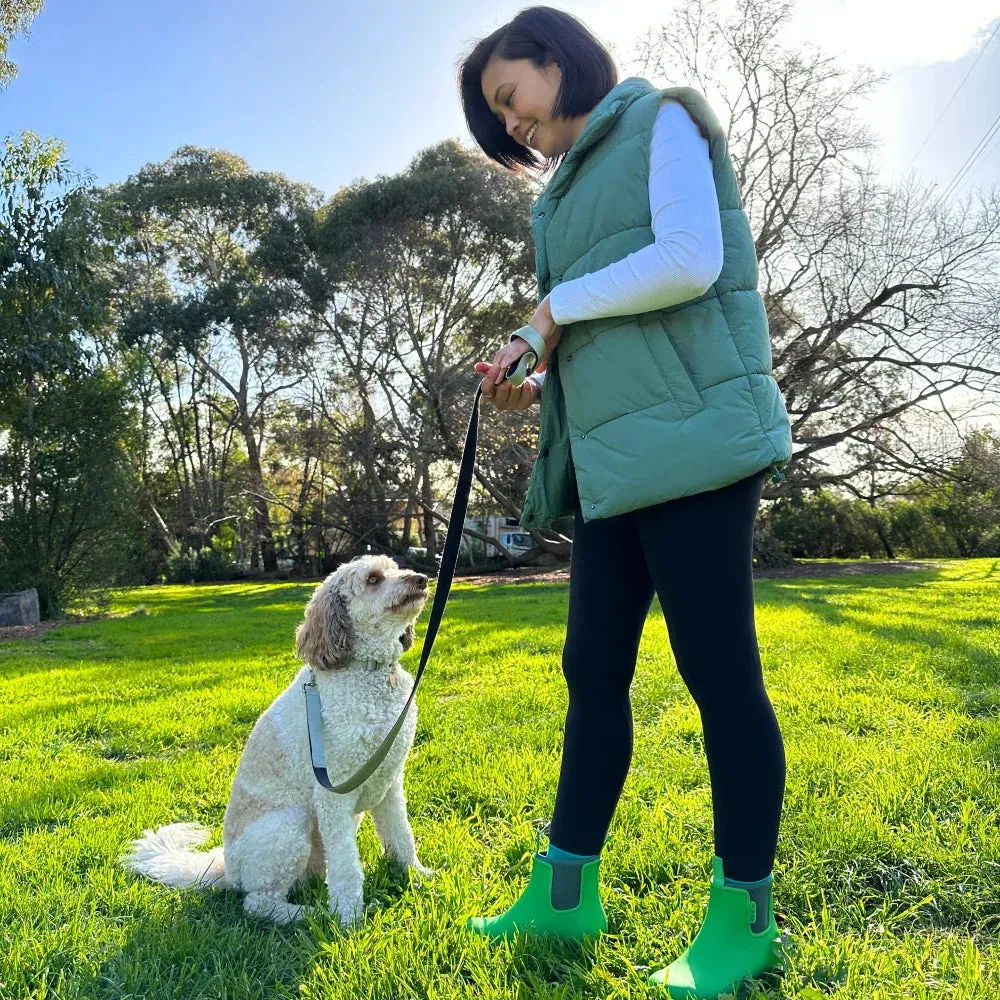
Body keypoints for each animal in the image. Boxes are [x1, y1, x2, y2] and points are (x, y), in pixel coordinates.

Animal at [123, 552, 432, 924]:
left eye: (396, 568)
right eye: (373, 579)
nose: (421, 578)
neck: (366, 671)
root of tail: (228, 869)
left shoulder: (389, 780)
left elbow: (401, 835)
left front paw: (416, 875)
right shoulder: (334, 792)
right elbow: (346, 865)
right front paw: (348, 917)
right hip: (287, 827)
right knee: (258, 902)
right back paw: (309, 915)